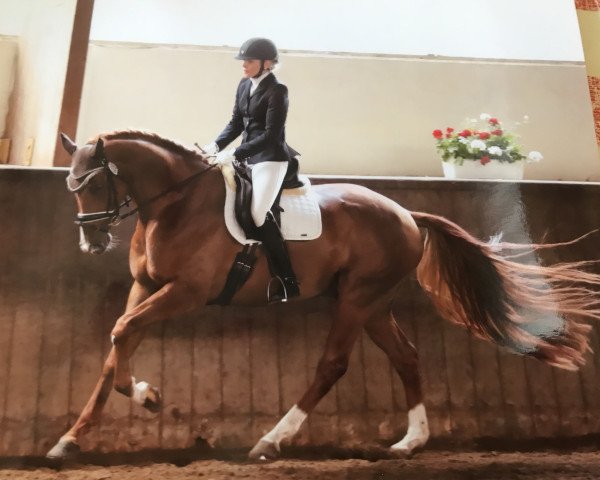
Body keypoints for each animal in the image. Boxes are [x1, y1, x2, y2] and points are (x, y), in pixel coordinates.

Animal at [48, 129, 600, 460]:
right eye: (70, 185)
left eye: (92, 185)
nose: (90, 242)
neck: (176, 205)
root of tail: (406, 214)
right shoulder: (145, 286)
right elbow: (116, 345)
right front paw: (71, 440)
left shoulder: (186, 292)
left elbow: (122, 332)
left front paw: (148, 397)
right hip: (372, 304)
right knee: (407, 357)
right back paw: (410, 441)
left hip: (357, 300)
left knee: (333, 364)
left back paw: (271, 440)